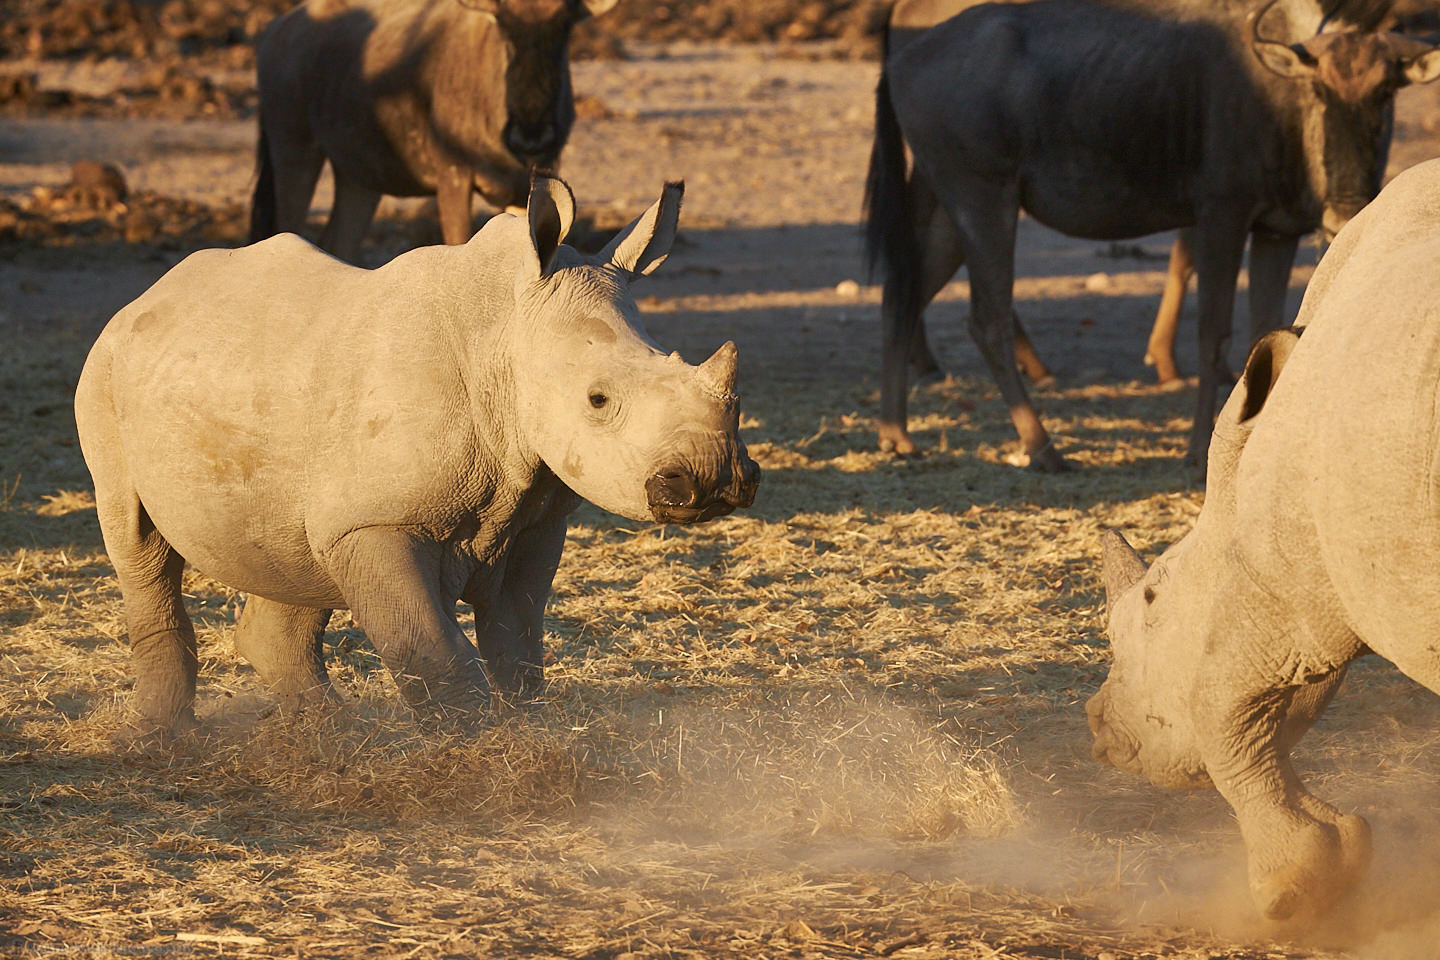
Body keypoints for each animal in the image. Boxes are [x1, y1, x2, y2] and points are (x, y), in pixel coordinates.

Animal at [75, 178, 766, 736]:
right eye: (598, 400)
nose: (716, 480)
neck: (505, 338)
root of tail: (146, 297)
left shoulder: (535, 516)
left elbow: (517, 642)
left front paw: (528, 738)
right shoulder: (379, 520)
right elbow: (435, 649)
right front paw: (480, 763)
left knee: (296, 549)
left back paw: (332, 735)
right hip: (104, 375)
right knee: (138, 542)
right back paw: (168, 741)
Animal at [253, 0, 613, 263]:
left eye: (564, 27)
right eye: (503, 25)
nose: (531, 136)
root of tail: (276, 30)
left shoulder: (527, 185)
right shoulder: (453, 176)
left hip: (358, 179)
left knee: (338, 244)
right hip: (294, 152)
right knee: (287, 229)